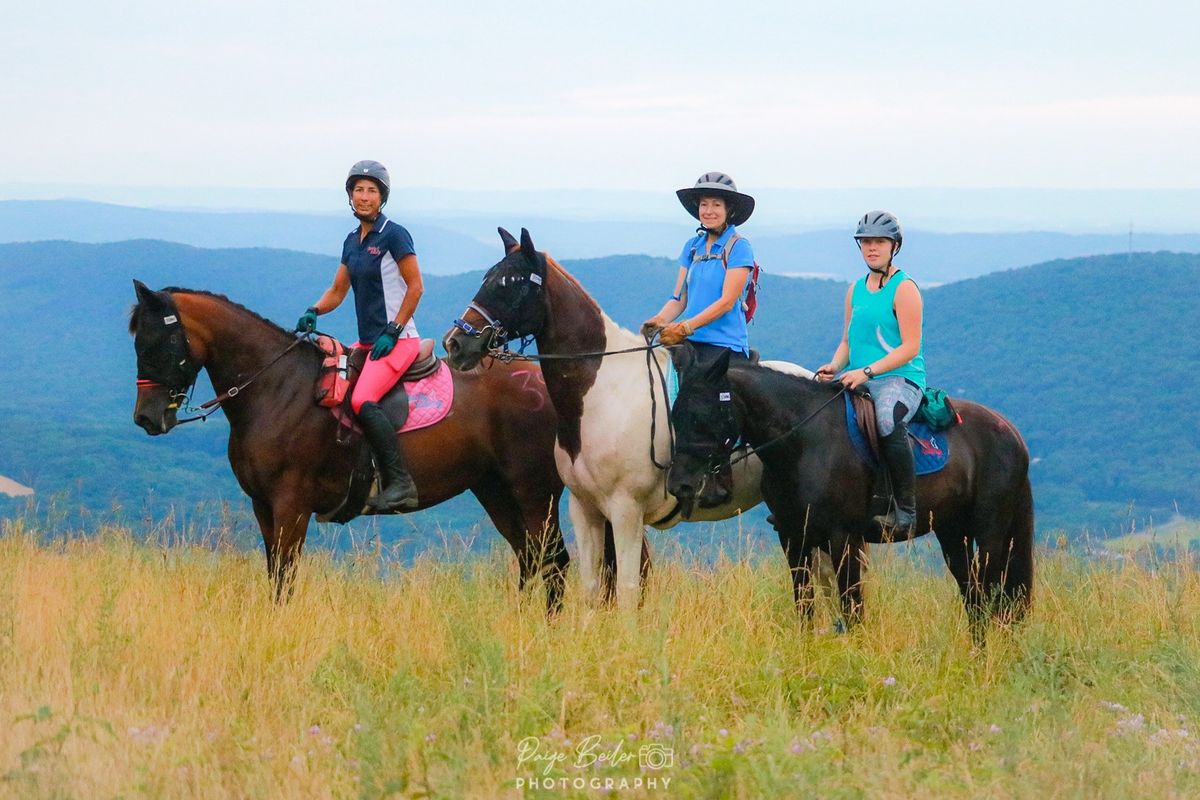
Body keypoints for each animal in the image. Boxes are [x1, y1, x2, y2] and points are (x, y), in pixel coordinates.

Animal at [131, 280, 576, 606]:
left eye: (160, 343)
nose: (146, 418)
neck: (276, 388)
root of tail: (543, 384)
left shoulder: (291, 505)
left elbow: (285, 576)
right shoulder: (262, 505)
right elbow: (275, 572)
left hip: (534, 493)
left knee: (553, 561)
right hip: (494, 489)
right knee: (530, 558)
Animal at [667, 345, 1032, 638]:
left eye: (702, 415)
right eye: (674, 415)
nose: (680, 485)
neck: (804, 442)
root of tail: (1012, 433)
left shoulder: (843, 538)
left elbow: (852, 607)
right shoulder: (793, 537)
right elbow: (805, 607)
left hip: (990, 534)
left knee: (991, 596)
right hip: (953, 533)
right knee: (974, 598)